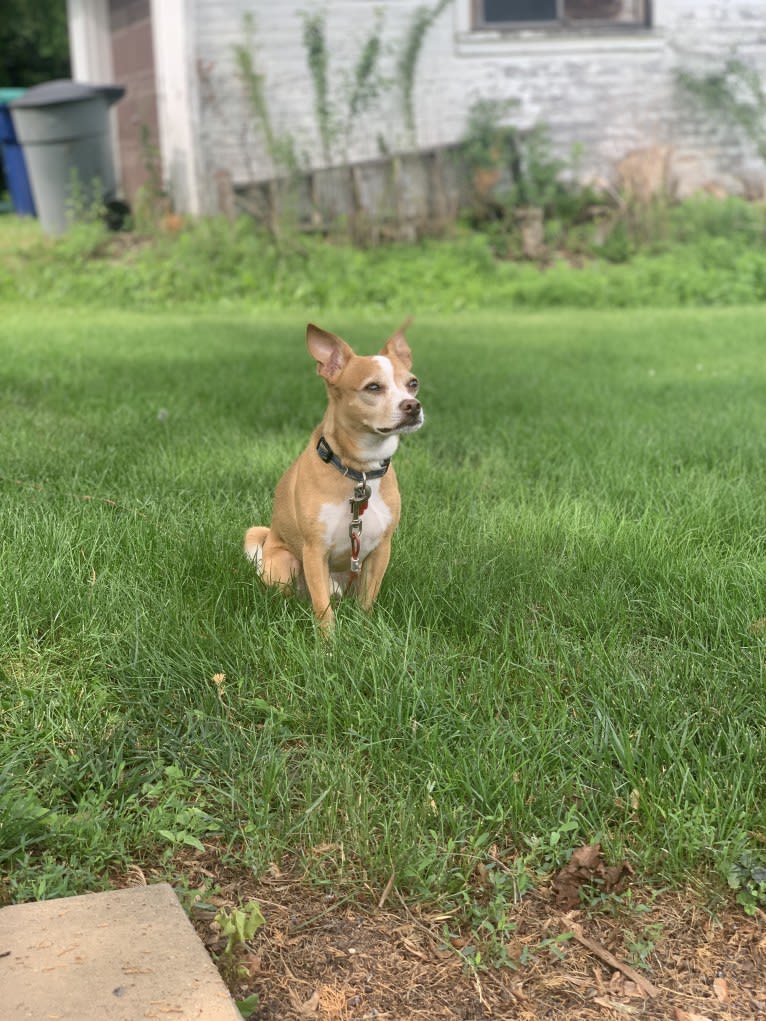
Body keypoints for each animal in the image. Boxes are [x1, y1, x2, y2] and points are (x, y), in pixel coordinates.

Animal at [244, 322, 426, 624]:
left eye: (413, 384)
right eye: (373, 387)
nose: (413, 405)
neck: (359, 471)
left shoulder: (380, 551)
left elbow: (367, 601)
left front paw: (365, 629)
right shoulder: (314, 551)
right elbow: (323, 610)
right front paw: (328, 638)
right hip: (287, 563)